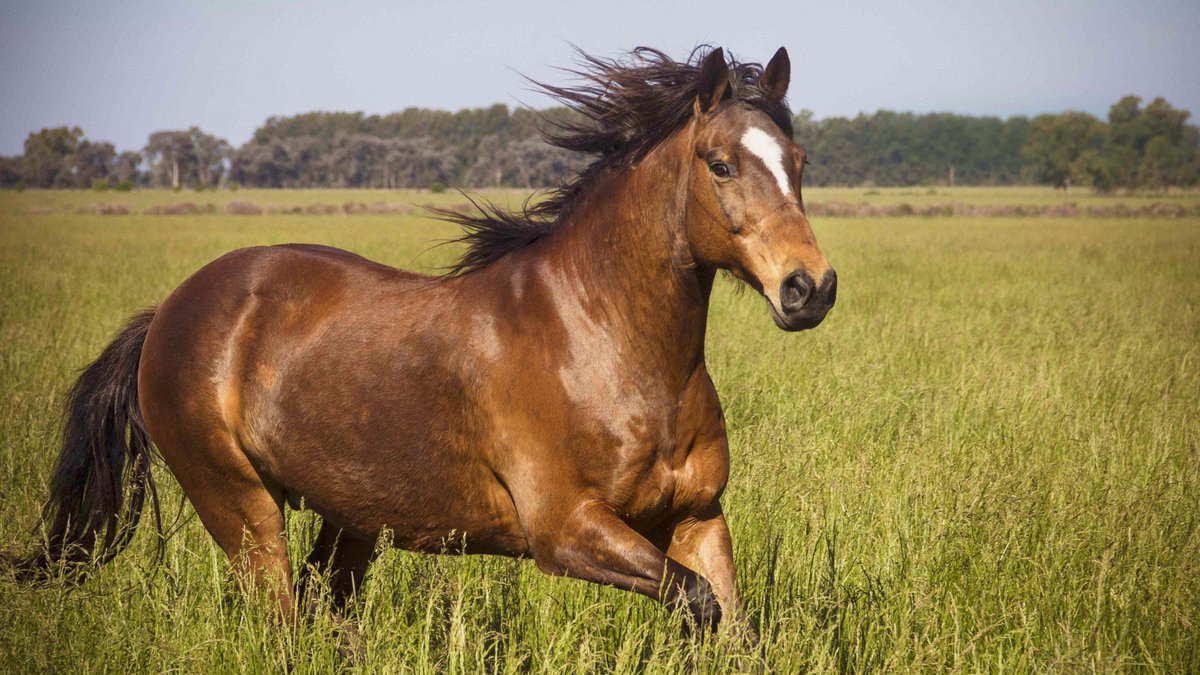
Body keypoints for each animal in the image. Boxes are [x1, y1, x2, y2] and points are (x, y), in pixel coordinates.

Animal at [11, 46, 836, 635]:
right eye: (721, 164)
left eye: (798, 163)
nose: (810, 289)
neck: (606, 345)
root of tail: (168, 314)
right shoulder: (567, 530)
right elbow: (696, 603)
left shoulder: (695, 516)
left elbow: (731, 622)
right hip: (242, 508)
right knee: (281, 623)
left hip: (349, 520)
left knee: (324, 617)